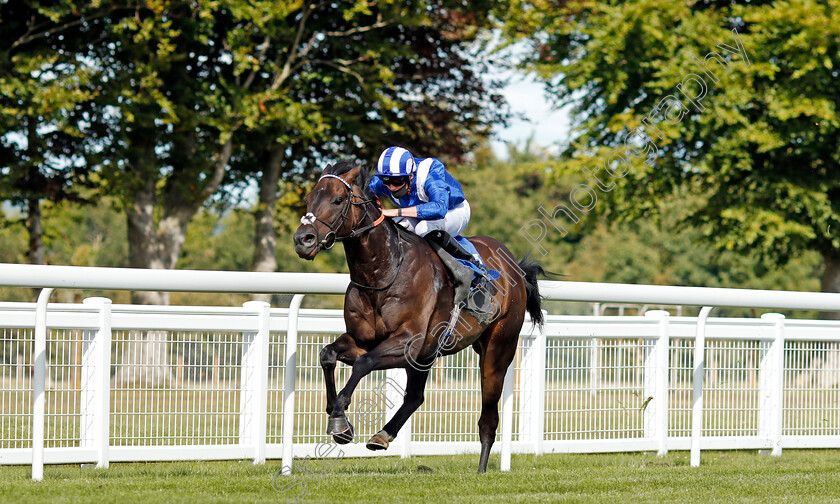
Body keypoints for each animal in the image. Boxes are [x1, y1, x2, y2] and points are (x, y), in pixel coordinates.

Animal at [294, 161, 544, 472]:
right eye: (308, 199)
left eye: (338, 199)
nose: (303, 240)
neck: (383, 271)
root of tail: (515, 268)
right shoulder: (364, 340)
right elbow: (328, 354)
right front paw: (336, 415)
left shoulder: (407, 343)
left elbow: (364, 363)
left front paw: (340, 418)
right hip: (429, 355)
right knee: (415, 397)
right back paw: (383, 435)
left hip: (499, 348)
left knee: (488, 416)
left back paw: (482, 468)